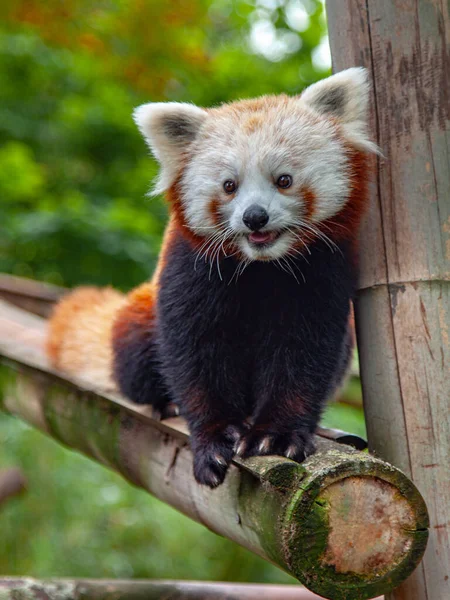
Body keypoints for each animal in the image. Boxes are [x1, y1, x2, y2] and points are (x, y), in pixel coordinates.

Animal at [46, 68, 376, 488]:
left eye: (284, 180)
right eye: (229, 185)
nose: (255, 217)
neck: (261, 265)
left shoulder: (321, 274)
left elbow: (303, 356)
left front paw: (277, 434)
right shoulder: (191, 270)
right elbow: (195, 353)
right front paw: (215, 438)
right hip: (137, 320)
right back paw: (167, 401)